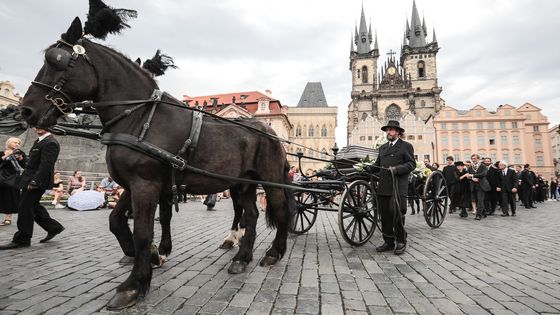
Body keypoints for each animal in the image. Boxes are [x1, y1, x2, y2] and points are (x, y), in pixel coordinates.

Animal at [19, 16, 296, 308]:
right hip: (242, 184)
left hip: (270, 180)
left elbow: (143, 232)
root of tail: (270, 132)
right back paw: (242, 258)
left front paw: (134, 284)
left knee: (280, 211)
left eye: (57, 60)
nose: (26, 110)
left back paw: (274, 252)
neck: (140, 118)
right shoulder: (133, 185)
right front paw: (152, 256)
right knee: (250, 215)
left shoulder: (145, 185)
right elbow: (117, 222)